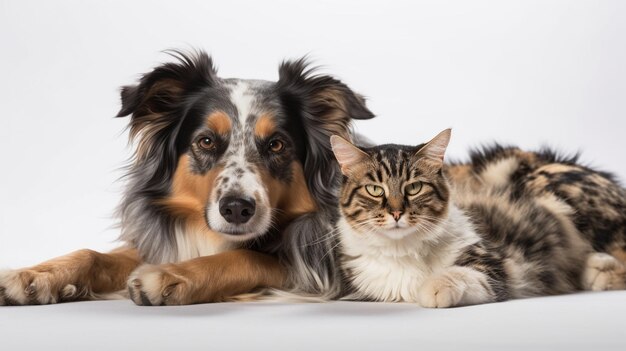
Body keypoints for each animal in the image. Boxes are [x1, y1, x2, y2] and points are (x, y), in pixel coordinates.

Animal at [0, 51, 370, 306]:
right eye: (205, 141)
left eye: (277, 144)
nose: (237, 209)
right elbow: (93, 254)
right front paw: (34, 275)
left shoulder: (318, 269)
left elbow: (246, 256)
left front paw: (169, 276)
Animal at [330, 130, 624, 308]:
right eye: (374, 189)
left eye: (414, 188)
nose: (396, 212)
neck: (402, 250)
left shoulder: (496, 261)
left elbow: (463, 274)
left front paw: (432, 289)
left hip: (547, 187)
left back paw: (597, 271)